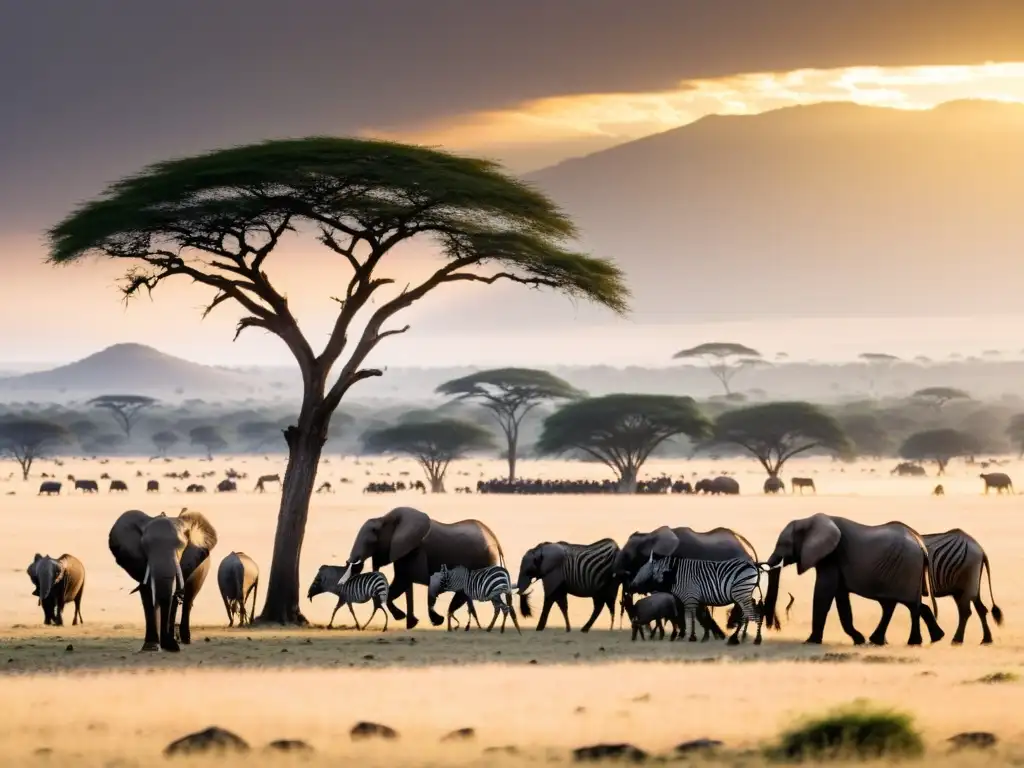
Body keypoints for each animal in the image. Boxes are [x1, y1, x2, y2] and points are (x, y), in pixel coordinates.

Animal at [109, 507, 217, 651]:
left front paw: (170, 646)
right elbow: (147, 593)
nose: (171, 646)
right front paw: (151, 647)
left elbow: (172, 595)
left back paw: (185, 640)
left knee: (188, 599)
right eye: (145, 547)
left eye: (181, 547)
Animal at [342, 507, 505, 626]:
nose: (351, 563)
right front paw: (409, 622)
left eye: (374, 535)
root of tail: (495, 538)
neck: (386, 518)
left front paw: (406, 619)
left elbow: (406, 580)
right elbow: (404, 581)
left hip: (483, 559)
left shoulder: (416, 549)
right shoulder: (404, 550)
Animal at [626, 557, 765, 647]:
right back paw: (740, 637)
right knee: (748, 615)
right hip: (745, 594)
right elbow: (701, 618)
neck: (675, 576)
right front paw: (705, 637)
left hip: (741, 592)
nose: (630, 586)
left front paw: (691, 637)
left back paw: (753, 639)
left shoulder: (690, 599)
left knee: (752, 615)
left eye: (642, 572)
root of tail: (753, 564)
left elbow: (690, 619)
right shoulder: (697, 600)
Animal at [761, 514, 942, 647]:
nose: (773, 627)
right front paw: (859, 640)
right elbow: (841, 600)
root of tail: (921, 544)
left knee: (910, 606)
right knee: (899, 605)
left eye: (784, 544)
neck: (807, 520)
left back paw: (913, 642)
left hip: (906, 568)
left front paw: (810, 642)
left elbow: (823, 593)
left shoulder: (831, 557)